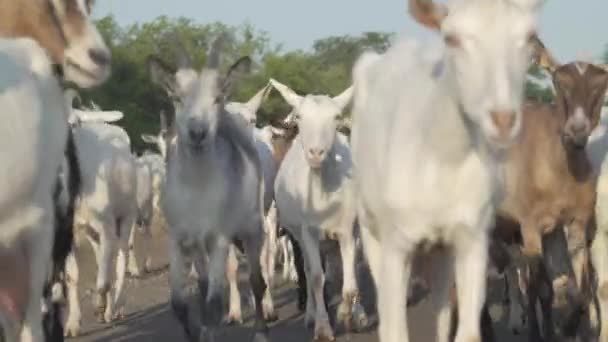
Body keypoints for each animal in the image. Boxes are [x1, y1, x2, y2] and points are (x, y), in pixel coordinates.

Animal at [274, 77, 368, 340]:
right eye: (299, 117)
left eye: (336, 117)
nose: (316, 153)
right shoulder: (307, 233)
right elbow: (316, 277)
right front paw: (323, 327)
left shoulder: (346, 228)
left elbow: (350, 281)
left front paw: (347, 313)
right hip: (298, 236)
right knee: (307, 270)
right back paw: (310, 315)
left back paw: (358, 313)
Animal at [350, 0, 544, 342]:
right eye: (451, 38)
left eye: (530, 37)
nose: (503, 120)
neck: (440, 157)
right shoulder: (396, 243)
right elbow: (394, 329)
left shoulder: (471, 236)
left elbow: (466, 330)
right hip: (370, 228)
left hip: (441, 249)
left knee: (440, 308)